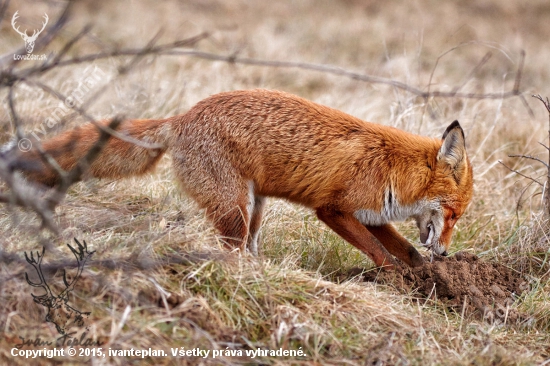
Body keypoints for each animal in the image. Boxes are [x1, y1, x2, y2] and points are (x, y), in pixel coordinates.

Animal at [4, 90, 474, 270]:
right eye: (453, 214)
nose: (447, 253)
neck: (392, 168)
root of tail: (182, 117)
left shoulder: (371, 213)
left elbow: (406, 249)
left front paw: (428, 277)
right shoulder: (333, 210)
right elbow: (382, 255)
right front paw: (399, 280)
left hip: (254, 210)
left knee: (247, 247)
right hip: (234, 208)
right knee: (230, 252)